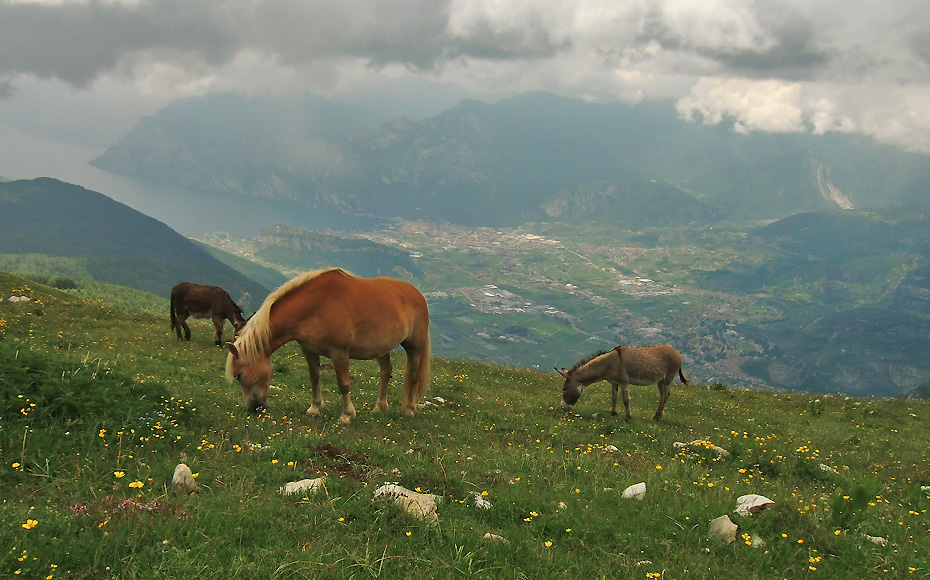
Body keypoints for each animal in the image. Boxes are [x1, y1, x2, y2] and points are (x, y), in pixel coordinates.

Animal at [225, 266, 432, 422]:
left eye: (238, 375)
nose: (253, 408)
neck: (316, 305)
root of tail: (419, 295)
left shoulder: (339, 352)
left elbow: (343, 383)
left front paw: (347, 415)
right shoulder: (308, 350)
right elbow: (314, 377)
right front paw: (315, 408)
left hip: (414, 347)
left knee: (412, 375)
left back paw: (409, 409)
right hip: (381, 349)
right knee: (385, 372)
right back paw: (379, 407)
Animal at [556, 344, 684, 422]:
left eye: (564, 388)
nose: (563, 407)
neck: (609, 363)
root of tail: (677, 352)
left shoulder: (624, 383)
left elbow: (626, 400)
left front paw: (628, 417)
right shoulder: (614, 383)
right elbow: (614, 398)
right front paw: (613, 413)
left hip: (668, 379)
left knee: (666, 395)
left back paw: (657, 417)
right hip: (660, 380)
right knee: (662, 395)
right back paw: (656, 416)